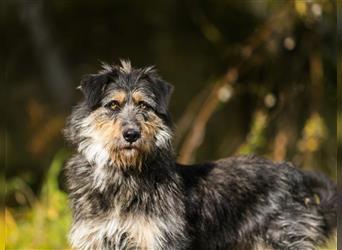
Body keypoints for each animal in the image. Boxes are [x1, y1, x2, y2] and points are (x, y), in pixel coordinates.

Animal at [64, 59, 336, 249]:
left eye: (144, 106)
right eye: (113, 105)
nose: (132, 134)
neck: (122, 175)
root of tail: (294, 174)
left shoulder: (158, 238)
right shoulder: (96, 238)